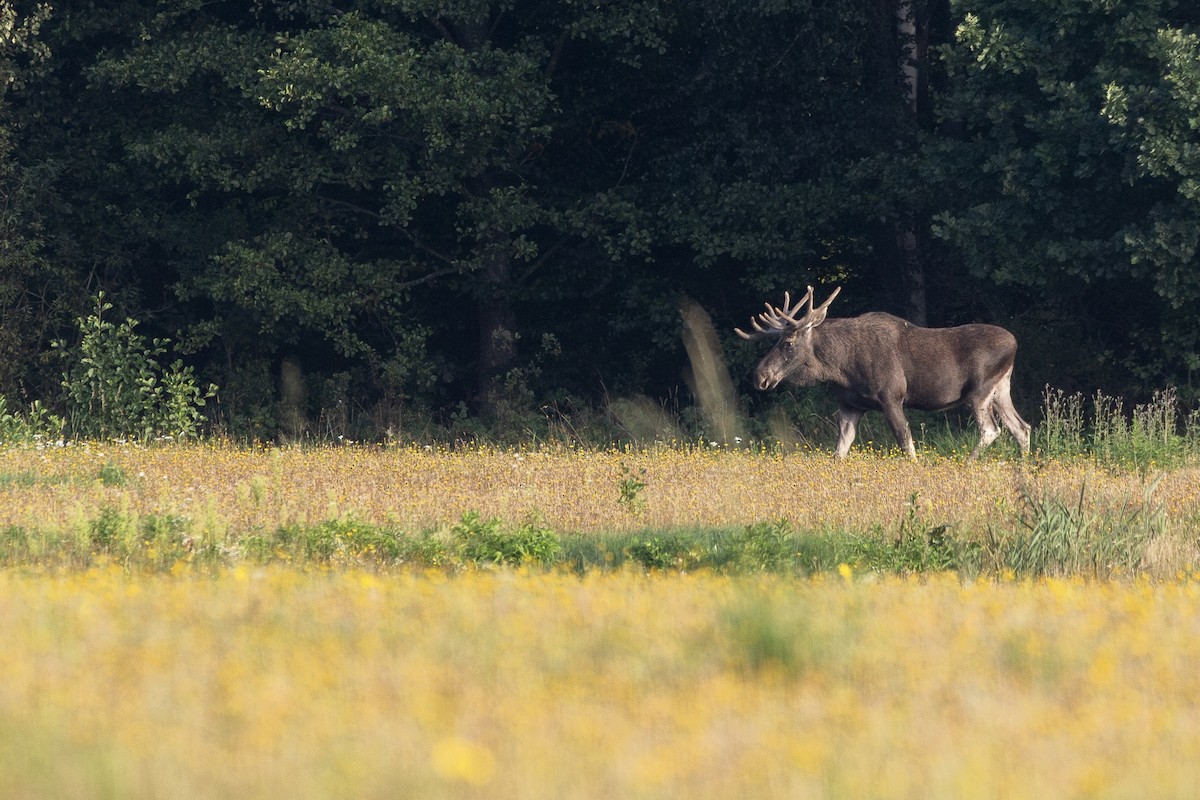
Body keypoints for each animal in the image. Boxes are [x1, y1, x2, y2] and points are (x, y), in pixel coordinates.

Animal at [736, 286, 1031, 460]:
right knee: (1022, 428)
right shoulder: (850, 404)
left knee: (991, 430)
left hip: (979, 391)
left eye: (788, 343)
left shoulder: (891, 397)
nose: (759, 376)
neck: (840, 368)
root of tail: (1015, 344)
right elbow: (839, 451)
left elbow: (906, 444)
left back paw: (968, 463)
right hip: (1000, 389)